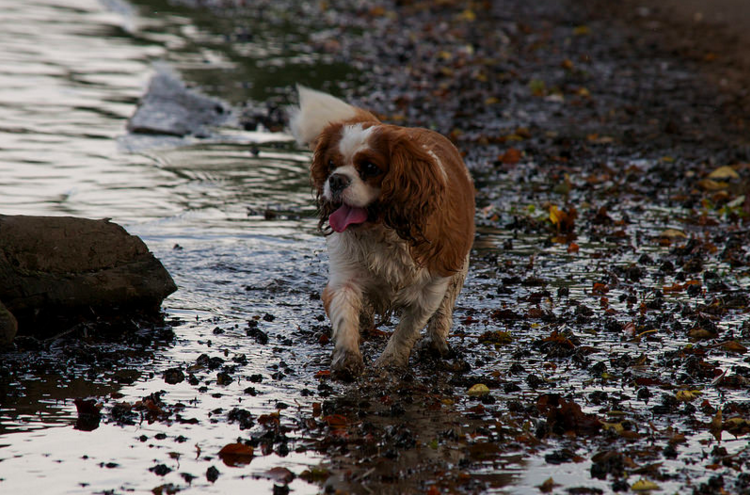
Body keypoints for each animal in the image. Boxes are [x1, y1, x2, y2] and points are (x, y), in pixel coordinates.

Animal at [290, 86, 476, 376]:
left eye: (370, 168)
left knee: (444, 311)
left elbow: (408, 329)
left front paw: (391, 362)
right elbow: (345, 315)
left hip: (459, 268)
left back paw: (437, 343)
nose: (336, 180)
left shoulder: (431, 288)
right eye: (331, 164)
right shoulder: (344, 279)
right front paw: (348, 358)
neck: (383, 229)